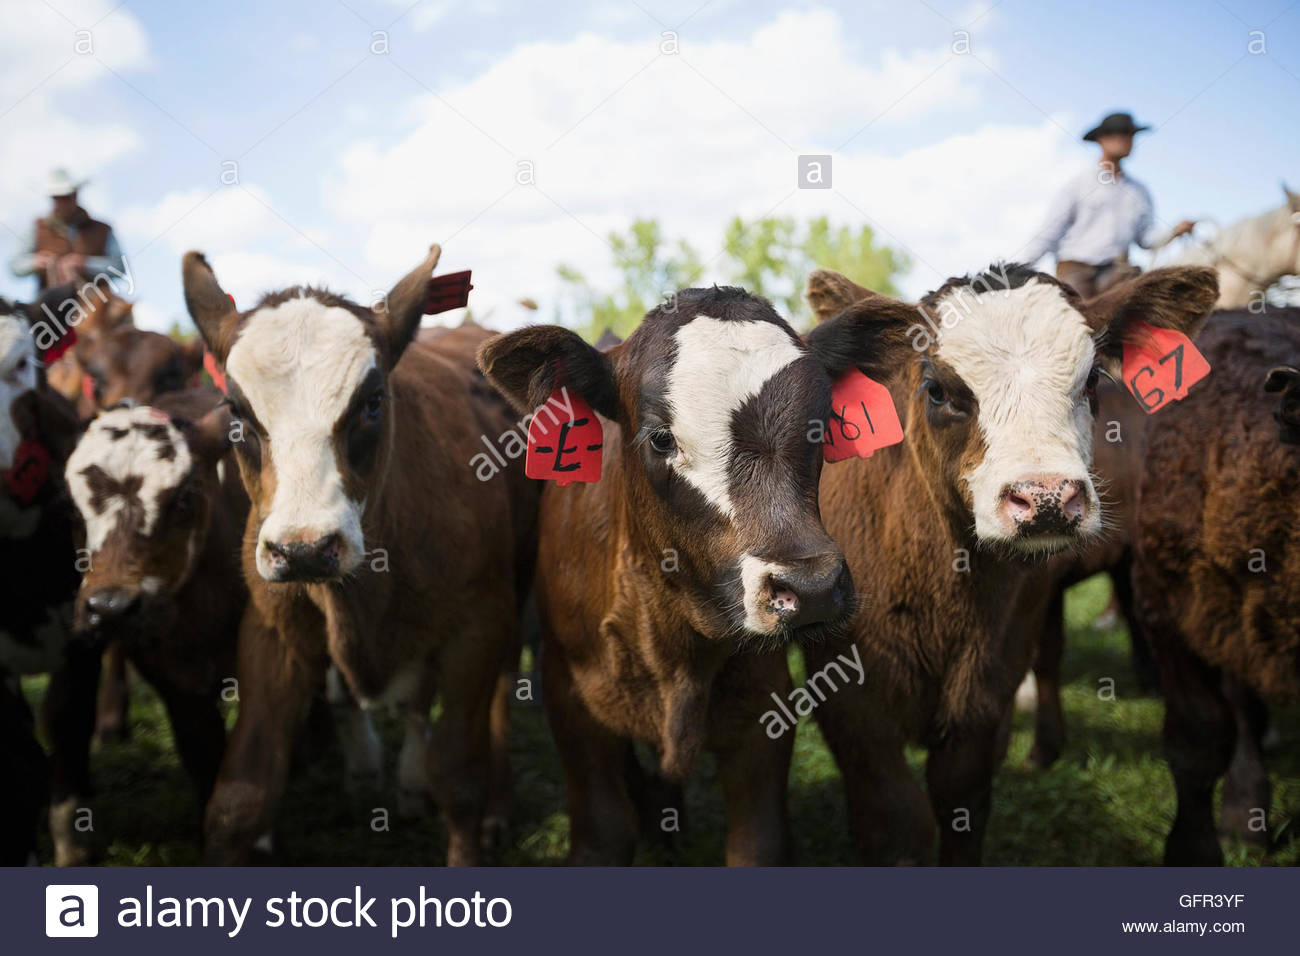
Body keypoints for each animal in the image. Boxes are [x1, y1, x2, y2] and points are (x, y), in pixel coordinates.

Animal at [181, 244, 538, 865]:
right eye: (236, 414)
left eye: (372, 403)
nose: (303, 548)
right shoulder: (272, 632)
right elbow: (239, 800)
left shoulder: (478, 625)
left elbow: (460, 778)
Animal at [477, 287, 859, 865]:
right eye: (660, 439)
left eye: (823, 425)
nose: (812, 588)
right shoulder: (573, 704)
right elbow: (605, 831)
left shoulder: (764, 706)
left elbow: (759, 842)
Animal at [802, 263, 1218, 864]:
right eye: (937, 390)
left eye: (1092, 381)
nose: (1045, 499)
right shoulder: (850, 704)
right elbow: (896, 818)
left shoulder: (986, 691)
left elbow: (961, 799)